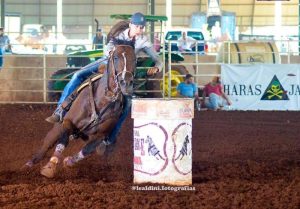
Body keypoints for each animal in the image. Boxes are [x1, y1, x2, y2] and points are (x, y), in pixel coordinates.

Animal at [24, 40, 136, 178]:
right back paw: (28, 165)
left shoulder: (101, 135)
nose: (126, 83)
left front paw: (69, 161)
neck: (103, 100)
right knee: (46, 145)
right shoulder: (68, 122)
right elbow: (62, 141)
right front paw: (50, 166)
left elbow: (86, 150)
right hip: (56, 128)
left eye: (135, 59)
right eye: (115, 57)